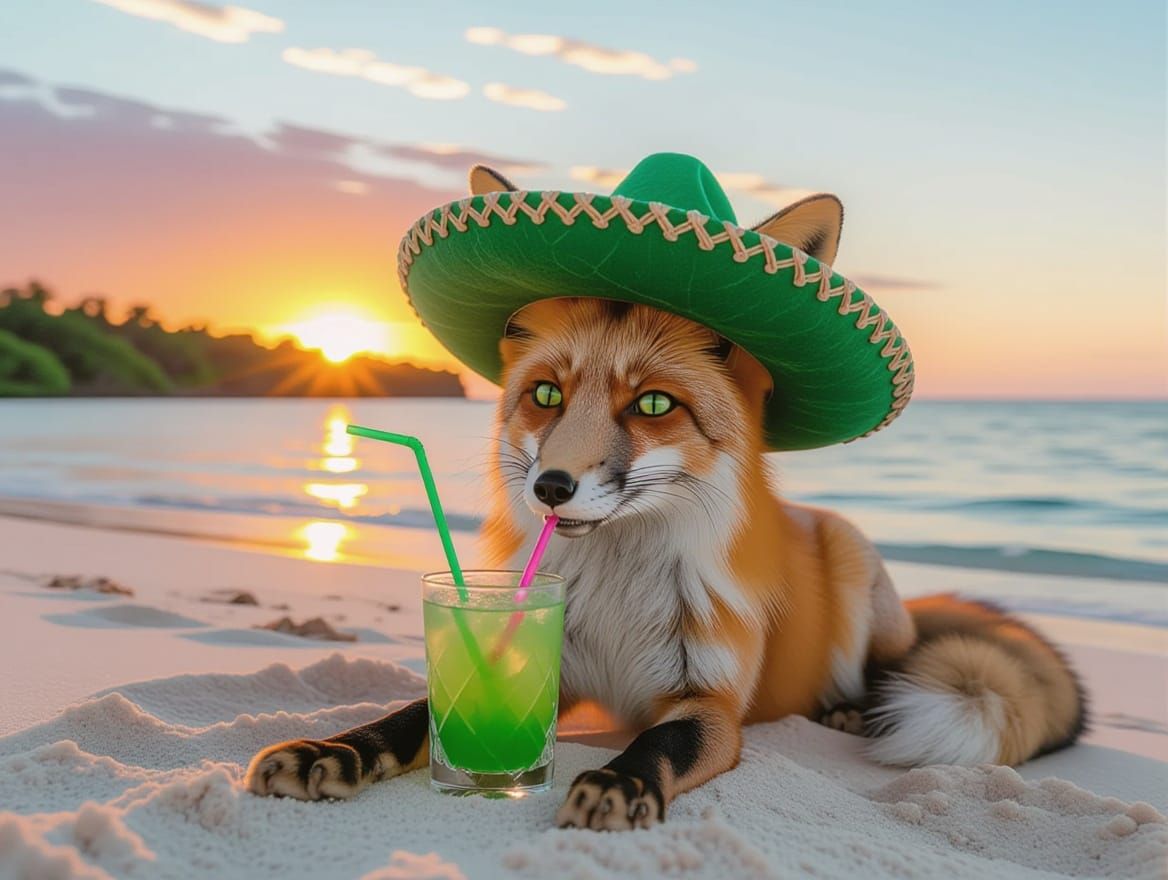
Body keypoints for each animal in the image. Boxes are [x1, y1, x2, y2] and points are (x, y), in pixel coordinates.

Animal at [245, 179, 1086, 830]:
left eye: (652, 403)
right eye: (546, 395)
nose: (551, 486)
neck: (616, 596)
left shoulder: (709, 703)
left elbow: (658, 744)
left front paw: (618, 781)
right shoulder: (543, 674)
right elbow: (411, 717)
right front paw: (334, 750)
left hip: (856, 572)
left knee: (889, 670)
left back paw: (847, 708)